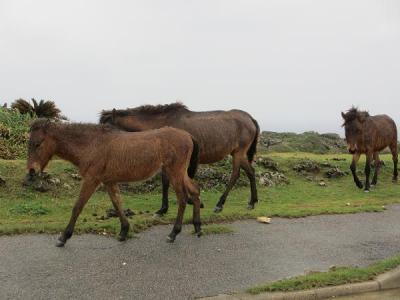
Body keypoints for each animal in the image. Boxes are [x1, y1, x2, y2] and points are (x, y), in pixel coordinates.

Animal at [26, 118, 202, 247]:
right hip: (181, 174)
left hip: (175, 173)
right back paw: (198, 227)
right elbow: (117, 204)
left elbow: (77, 207)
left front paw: (64, 237)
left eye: (38, 143)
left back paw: (173, 233)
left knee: (182, 199)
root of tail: (188, 136)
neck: (92, 144)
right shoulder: (109, 182)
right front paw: (124, 231)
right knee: (194, 191)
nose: (31, 171)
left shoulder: (92, 180)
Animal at [101, 103, 260, 216]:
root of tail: (250, 118)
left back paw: (220, 204)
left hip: (239, 153)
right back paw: (252, 202)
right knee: (251, 172)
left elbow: (167, 182)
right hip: (238, 154)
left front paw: (164, 209)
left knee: (235, 175)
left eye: (107, 126)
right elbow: (168, 182)